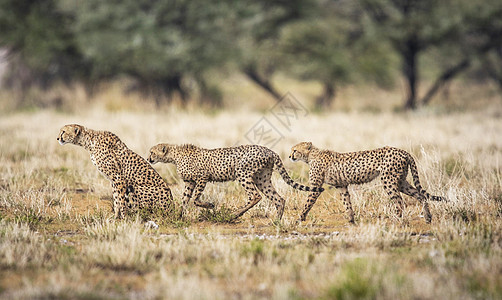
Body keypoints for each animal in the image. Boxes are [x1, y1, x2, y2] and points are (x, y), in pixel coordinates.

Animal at [147, 143, 324, 220]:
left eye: (152, 152)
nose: (149, 159)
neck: (174, 156)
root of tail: (269, 150)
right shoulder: (189, 182)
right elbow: (185, 200)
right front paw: (178, 216)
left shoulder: (202, 178)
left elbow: (195, 199)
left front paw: (210, 205)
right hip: (262, 178)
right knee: (278, 198)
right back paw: (276, 221)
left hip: (243, 173)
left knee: (255, 196)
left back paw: (234, 214)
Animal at [288, 142, 446, 224]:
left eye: (295, 150)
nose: (289, 156)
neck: (311, 155)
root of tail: (402, 151)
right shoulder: (341, 185)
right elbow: (347, 203)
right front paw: (351, 220)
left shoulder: (316, 187)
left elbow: (307, 203)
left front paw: (300, 218)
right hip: (401, 181)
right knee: (420, 195)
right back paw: (428, 218)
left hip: (388, 180)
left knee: (399, 201)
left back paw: (396, 219)